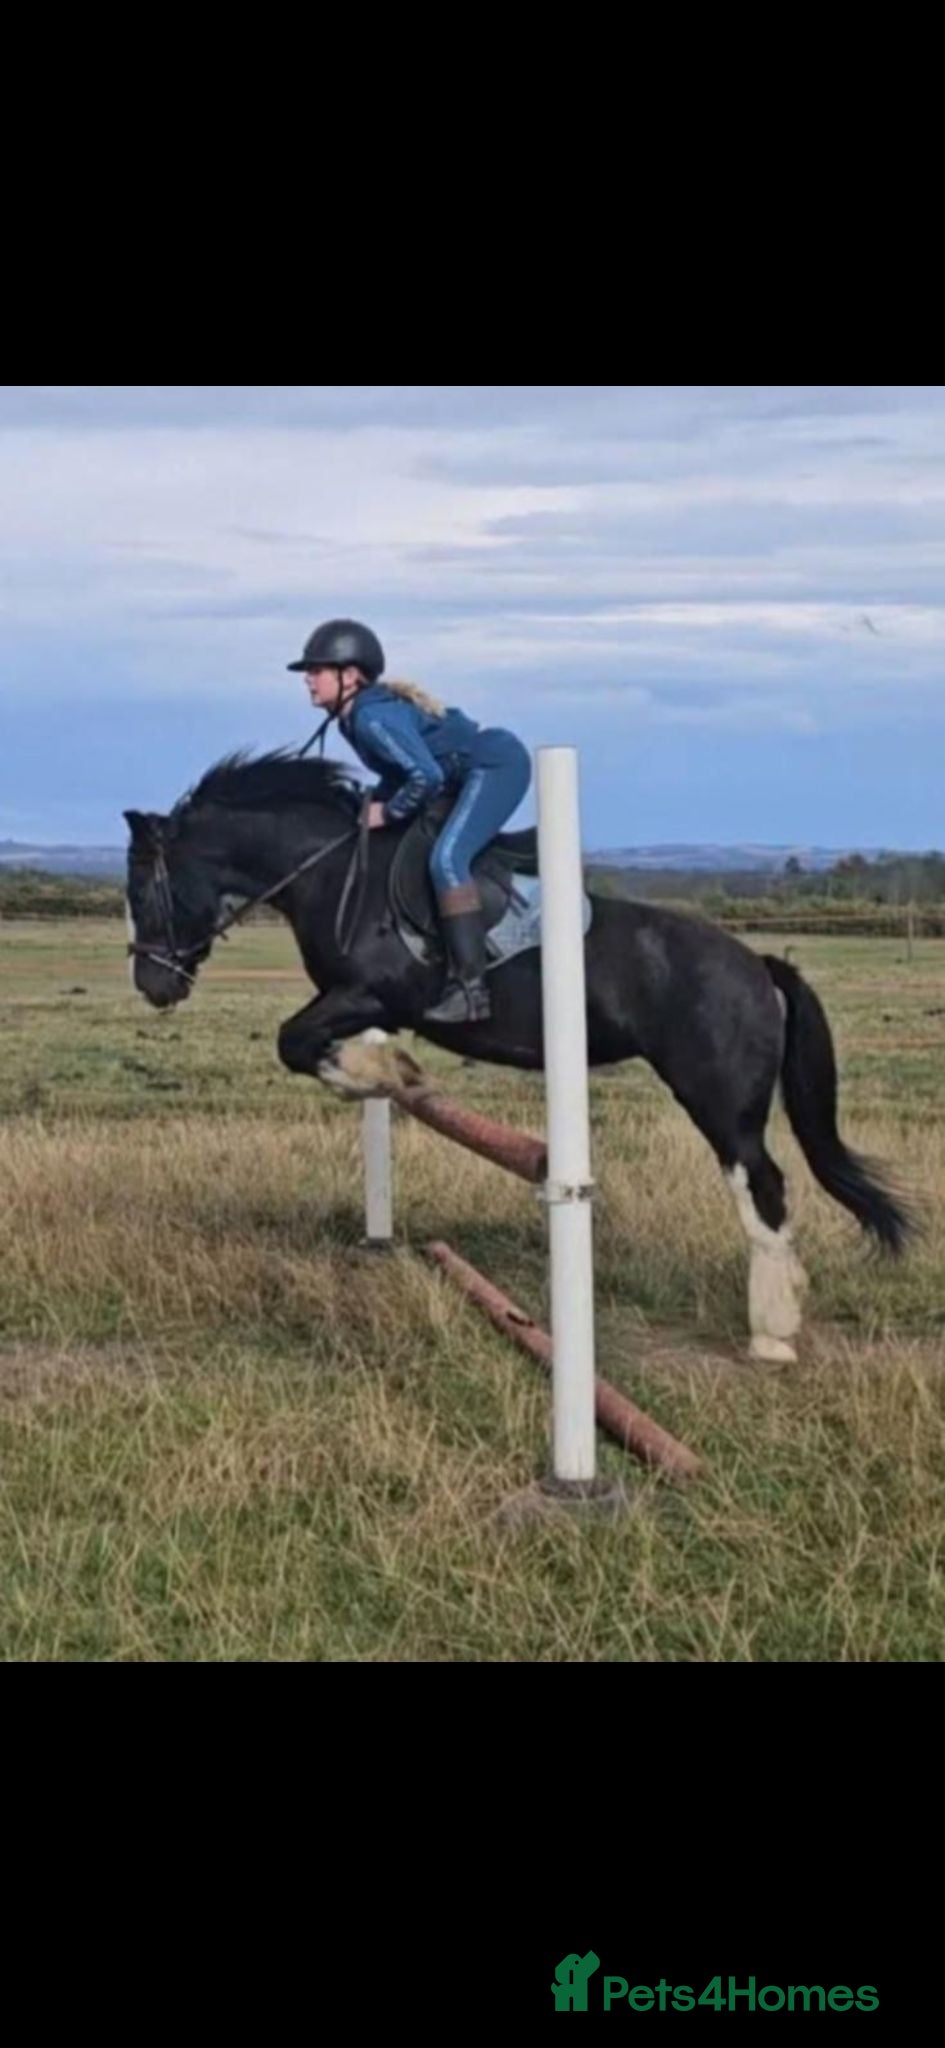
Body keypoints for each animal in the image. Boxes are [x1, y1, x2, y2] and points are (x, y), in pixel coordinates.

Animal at [125, 750, 914, 1365]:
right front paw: (384, 1070)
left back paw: (773, 1333)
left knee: (762, 1183)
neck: (333, 870)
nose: (152, 985)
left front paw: (384, 1071)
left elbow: (294, 1042)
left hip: (718, 1096)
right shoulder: (358, 1002)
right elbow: (314, 1044)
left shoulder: (373, 993)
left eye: (144, 891)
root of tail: (757, 965)